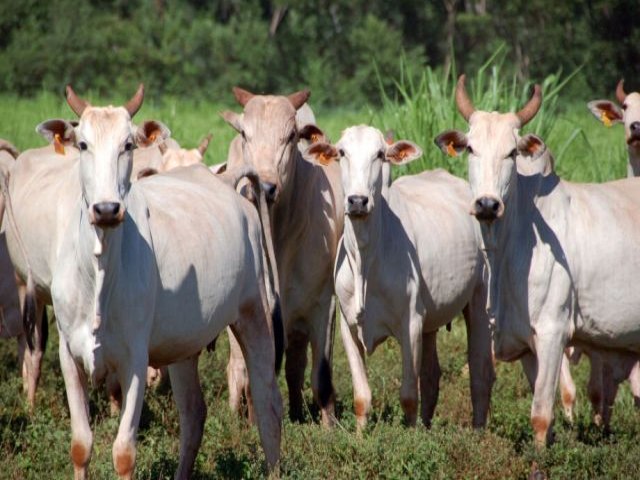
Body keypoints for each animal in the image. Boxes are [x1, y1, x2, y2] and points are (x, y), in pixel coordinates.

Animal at [6, 84, 282, 478]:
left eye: (128, 145)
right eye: (83, 144)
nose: (107, 209)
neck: (99, 278)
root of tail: (225, 182)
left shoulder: (135, 361)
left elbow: (124, 452)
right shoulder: (69, 356)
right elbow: (80, 445)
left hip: (254, 314)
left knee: (267, 403)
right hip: (185, 343)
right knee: (193, 414)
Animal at [220, 88, 342, 426]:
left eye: (290, 136)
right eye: (245, 133)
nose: (264, 185)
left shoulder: (324, 303)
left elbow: (321, 376)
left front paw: (329, 427)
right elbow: (252, 373)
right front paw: (251, 424)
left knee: (295, 365)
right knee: (238, 367)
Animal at [304, 125, 496, 430]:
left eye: (380, 154)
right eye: (342, 152)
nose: (357, 201)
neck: (366, 260)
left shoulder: (411, 323)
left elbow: (408, 396)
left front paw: (410, 435)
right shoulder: (348, 326)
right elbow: (362, 397)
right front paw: (360, 435)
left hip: (479, 298)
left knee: (480, 372)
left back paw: (477, 431)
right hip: (432, 319)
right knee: (431, 377)